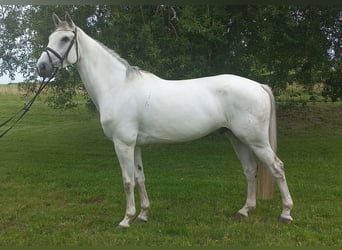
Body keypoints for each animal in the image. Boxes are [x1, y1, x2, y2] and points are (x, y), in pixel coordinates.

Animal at [37, 13, 294, 229]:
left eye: (65, 38)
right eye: (50, 37)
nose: (42, 67)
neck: (117, 87)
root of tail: (258, 85)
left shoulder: (123, 144)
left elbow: (127, 181)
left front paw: (126, 219)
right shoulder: (135, 145)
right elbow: (140, 178)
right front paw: (143, 215)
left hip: (256, 140)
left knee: (278, 167)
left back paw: (286, 213)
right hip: (236, 137)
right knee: (250, 170)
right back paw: (245, 210)